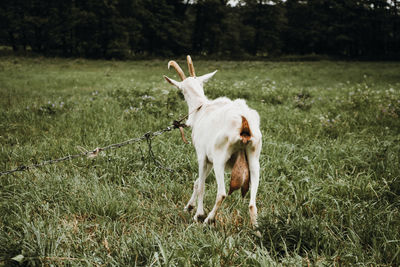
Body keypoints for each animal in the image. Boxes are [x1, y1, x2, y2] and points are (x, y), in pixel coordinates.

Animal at [163, 56, 262, 228]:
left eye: (181, 90)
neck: (201, 108)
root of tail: (244, 122)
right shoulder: (208, 159)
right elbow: (198, 182)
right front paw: (189, 206)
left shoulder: (202, 156)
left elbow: (201, 185)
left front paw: (198, 214)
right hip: (254, 158)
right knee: (252, 203)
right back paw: (256, 229)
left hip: (220, 158)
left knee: (221, 193)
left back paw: (208, 219)